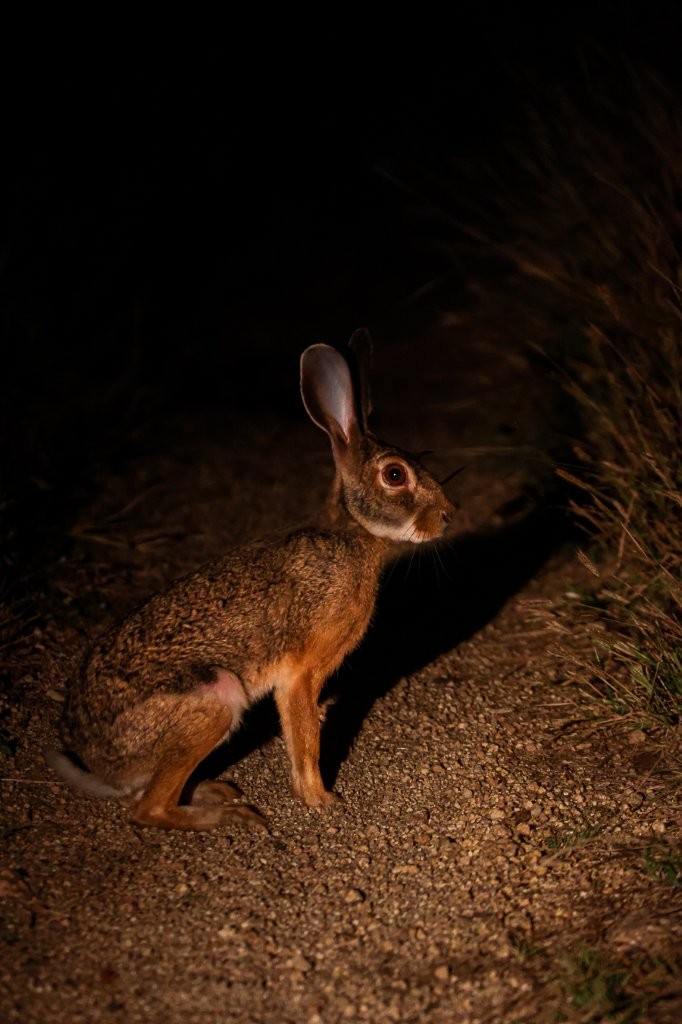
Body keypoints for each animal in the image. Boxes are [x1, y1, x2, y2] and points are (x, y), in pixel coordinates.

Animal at [47, 330, 456, 831]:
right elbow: (305, 735)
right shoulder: (300, 673)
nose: (446, 516)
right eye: (396, 475)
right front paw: (320, 800)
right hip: (213, 700)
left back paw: (215, 792)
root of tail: (102, 765)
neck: (352, 534)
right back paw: (226, 815)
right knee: (147, 808)